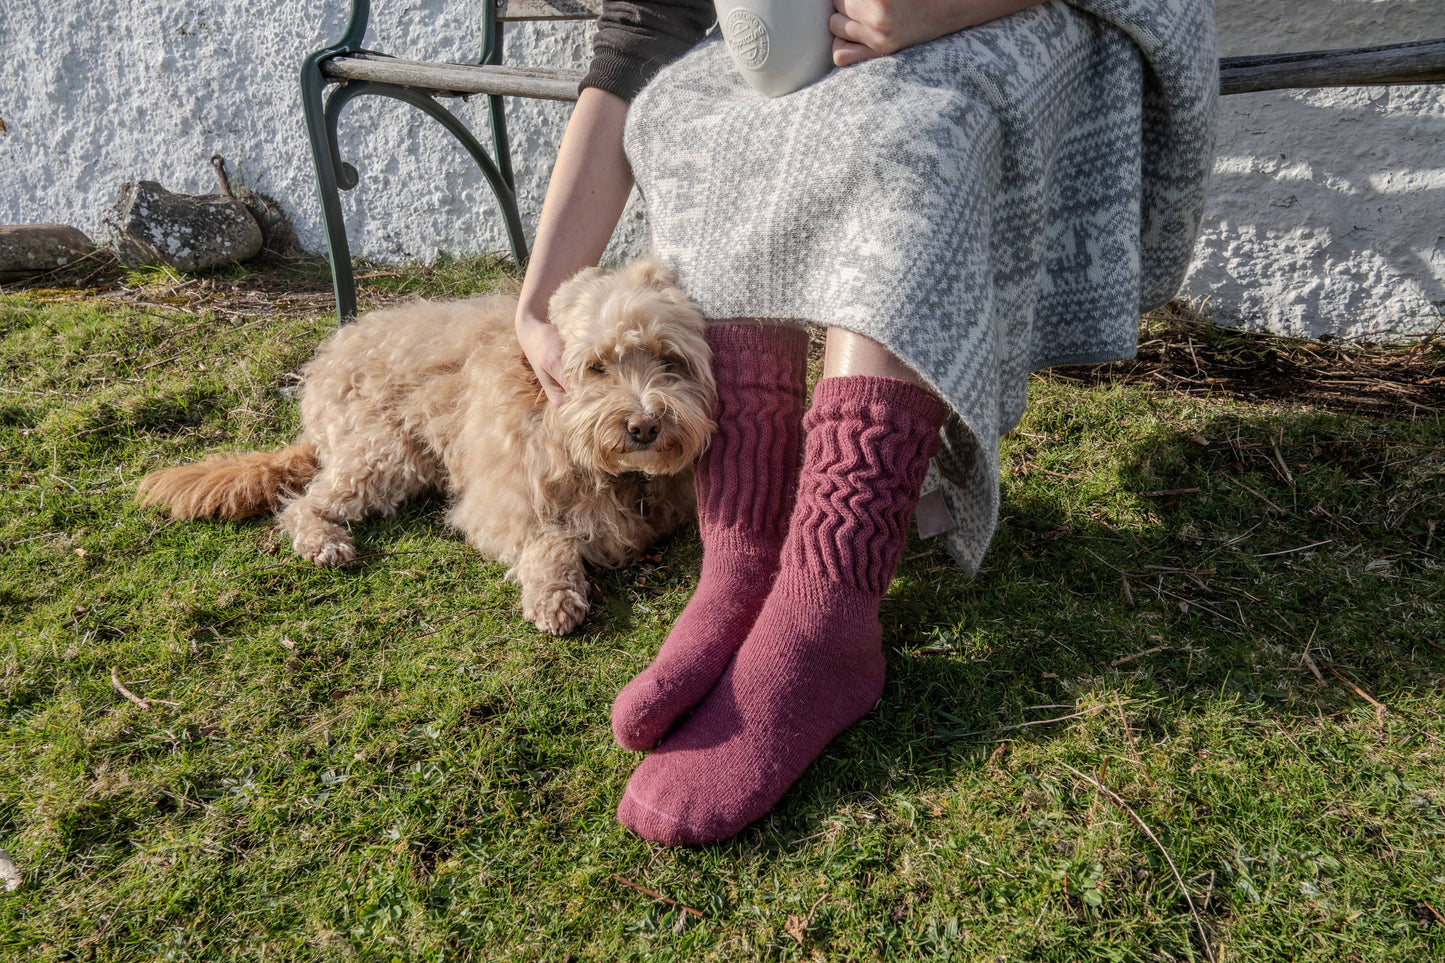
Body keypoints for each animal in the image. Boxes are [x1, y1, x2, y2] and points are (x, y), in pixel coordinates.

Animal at [137, 257, 713, 630]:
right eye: (596, 367)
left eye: (668, 360)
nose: (644, 426)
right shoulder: (499, 507)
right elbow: (551, 540)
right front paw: (554, 596)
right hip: (386, 454)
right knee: (303, 503)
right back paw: (324, 541)